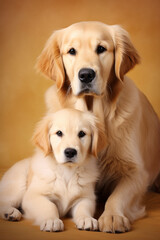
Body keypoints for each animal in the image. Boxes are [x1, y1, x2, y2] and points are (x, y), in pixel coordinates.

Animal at [36, 21, 160, 232]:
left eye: (101, 49)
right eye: (71, 51)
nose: (86, 74)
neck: (94, 111)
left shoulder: (137, 172)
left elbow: (117, 196)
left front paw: (112, 216)